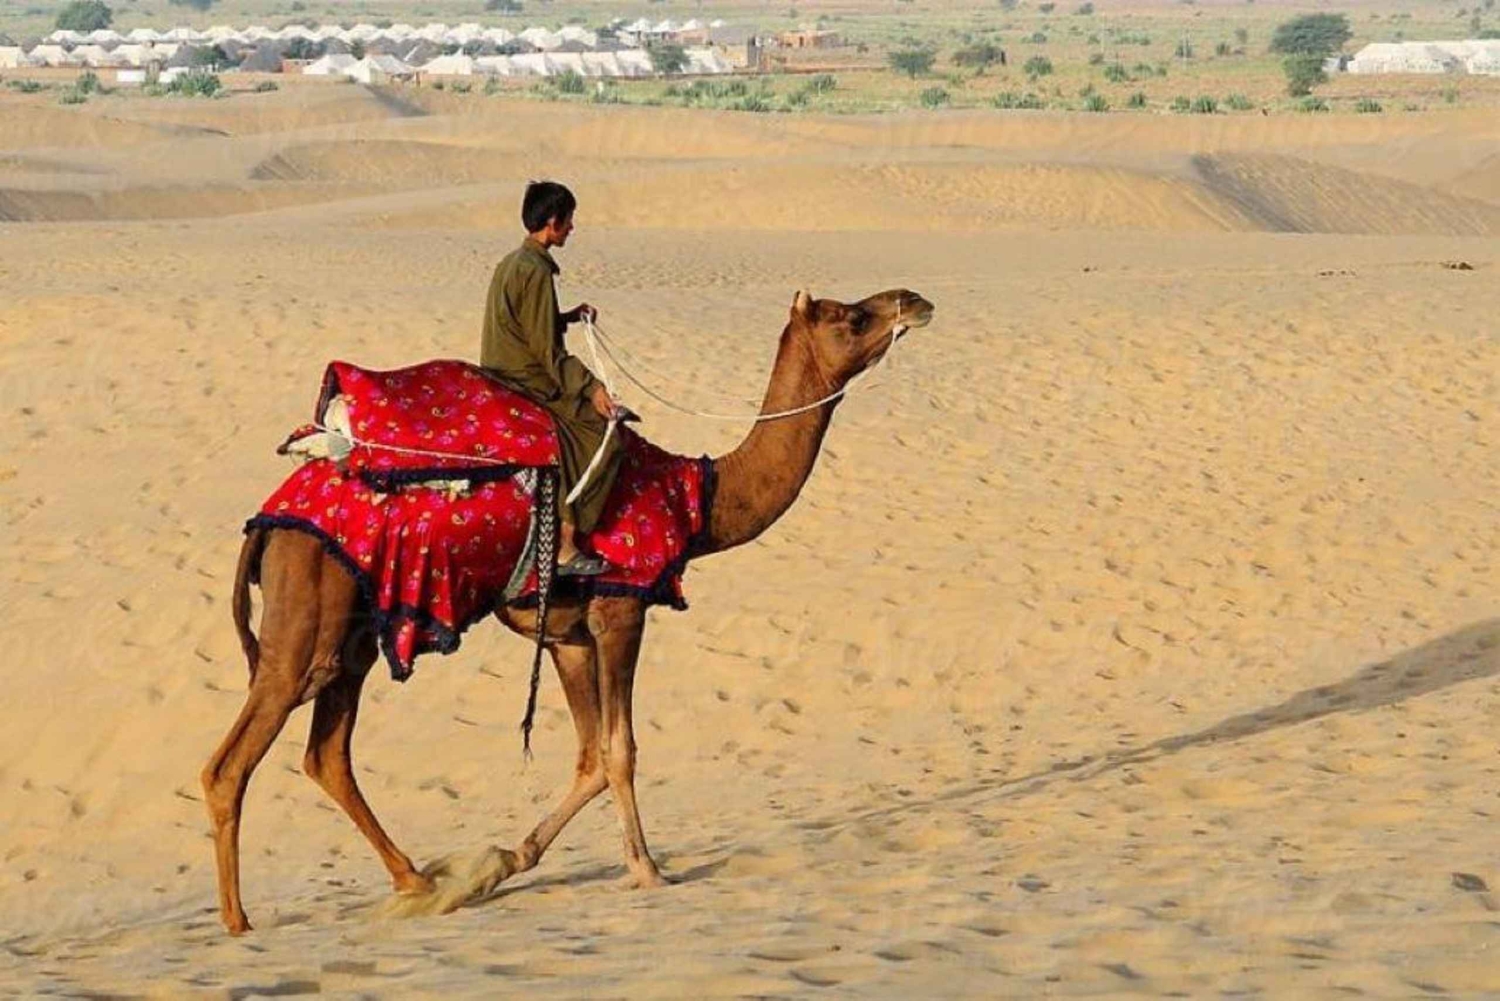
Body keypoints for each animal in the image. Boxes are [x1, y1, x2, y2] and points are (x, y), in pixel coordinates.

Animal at [201, 287, 935, 935]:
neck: (694, 499)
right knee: (232, 762)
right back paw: (240, 921)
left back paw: (418, 881)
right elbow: (620, 748)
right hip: (305, 619)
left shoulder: (566, 635)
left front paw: (505, 859)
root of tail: (264, 523)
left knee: (327, 754)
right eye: (850, 316)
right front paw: (647, 870)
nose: (915, 301)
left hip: (352, 631)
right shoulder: (619, 612)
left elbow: (589, 757)